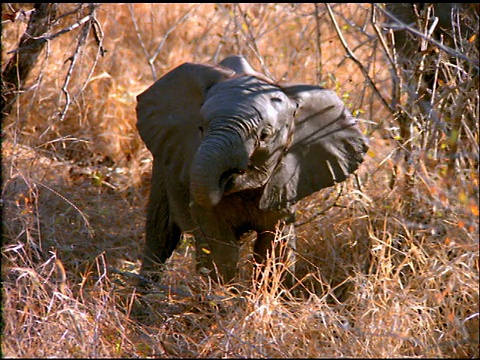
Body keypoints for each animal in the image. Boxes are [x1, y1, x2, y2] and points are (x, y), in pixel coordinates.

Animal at [137, 55, 370, 286]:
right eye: (200, 128)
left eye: (265, 135)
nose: (228, 175)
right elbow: (220, 249)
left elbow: (275, 247)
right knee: (160, 236)